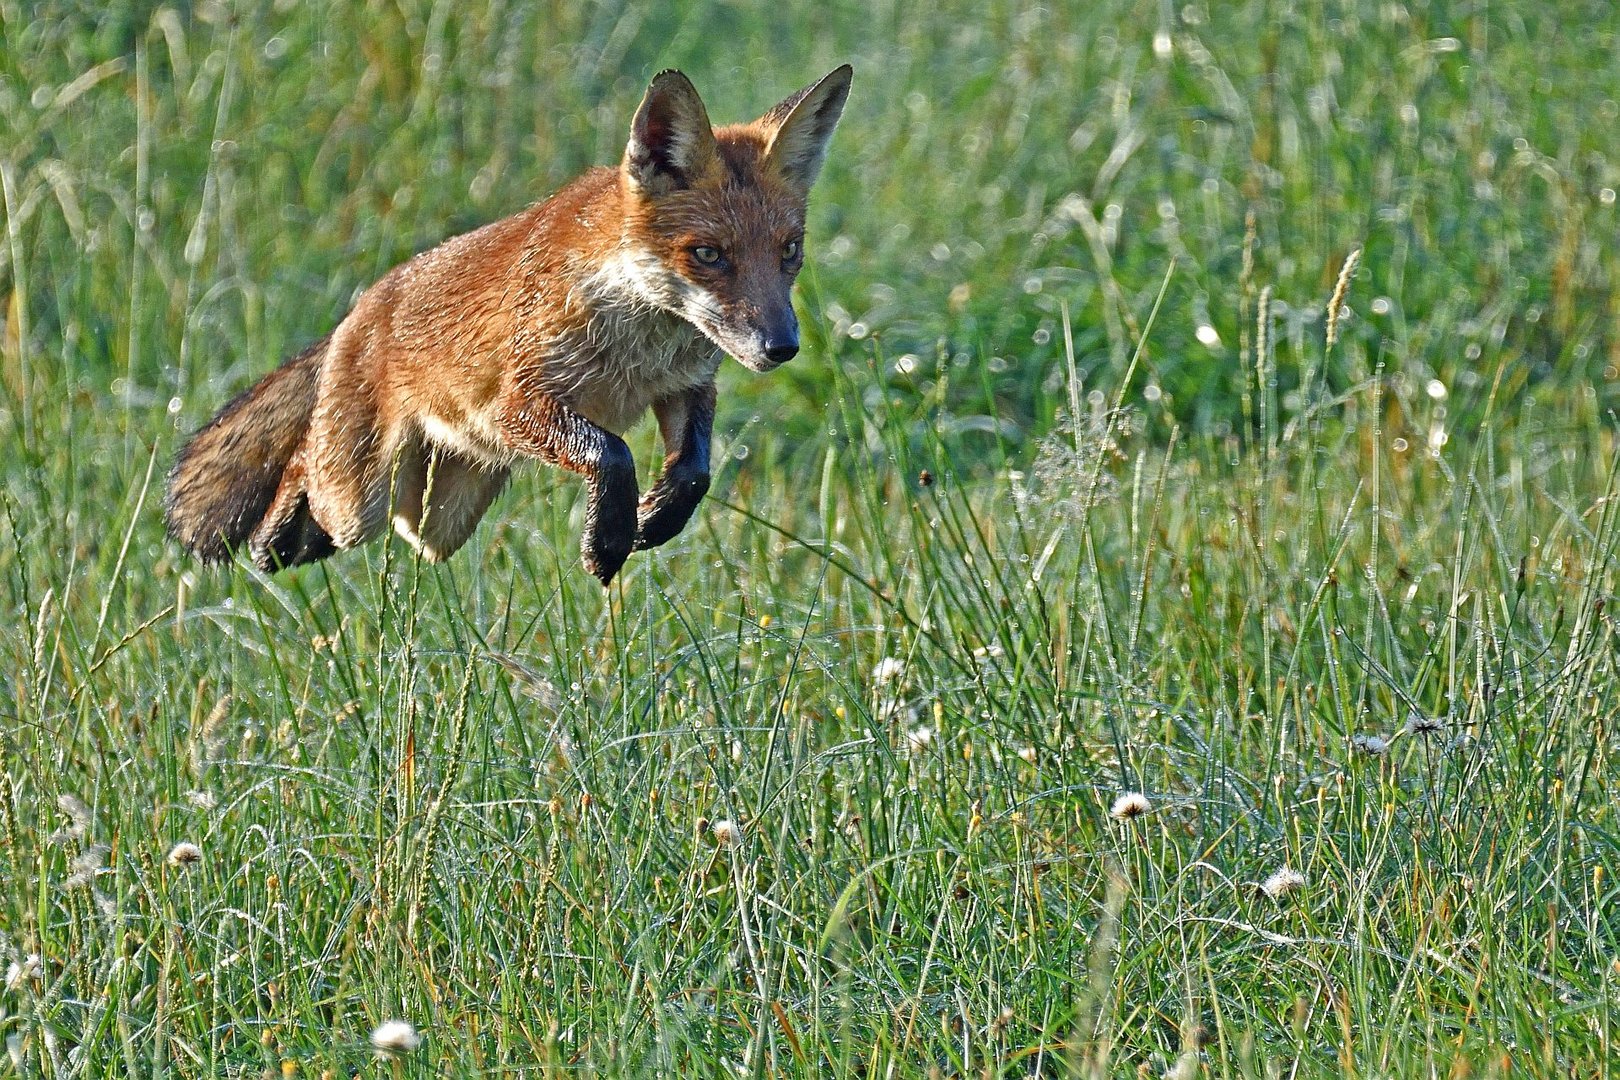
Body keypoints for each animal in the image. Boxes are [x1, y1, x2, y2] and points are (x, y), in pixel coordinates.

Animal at [162, 65, 848, 592]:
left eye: (789, 251)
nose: (782, 348)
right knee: (305, 464)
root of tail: (359, 310)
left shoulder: (687, 385)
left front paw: (654, 517)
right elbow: (613, 452)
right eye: (708, 254)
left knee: (368, 530)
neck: (641, 338)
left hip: (436, 519)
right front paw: (608, 539)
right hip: (361, 496)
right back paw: (270, 541)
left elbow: (693, 472)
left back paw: (287, 546)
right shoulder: (512, 402)